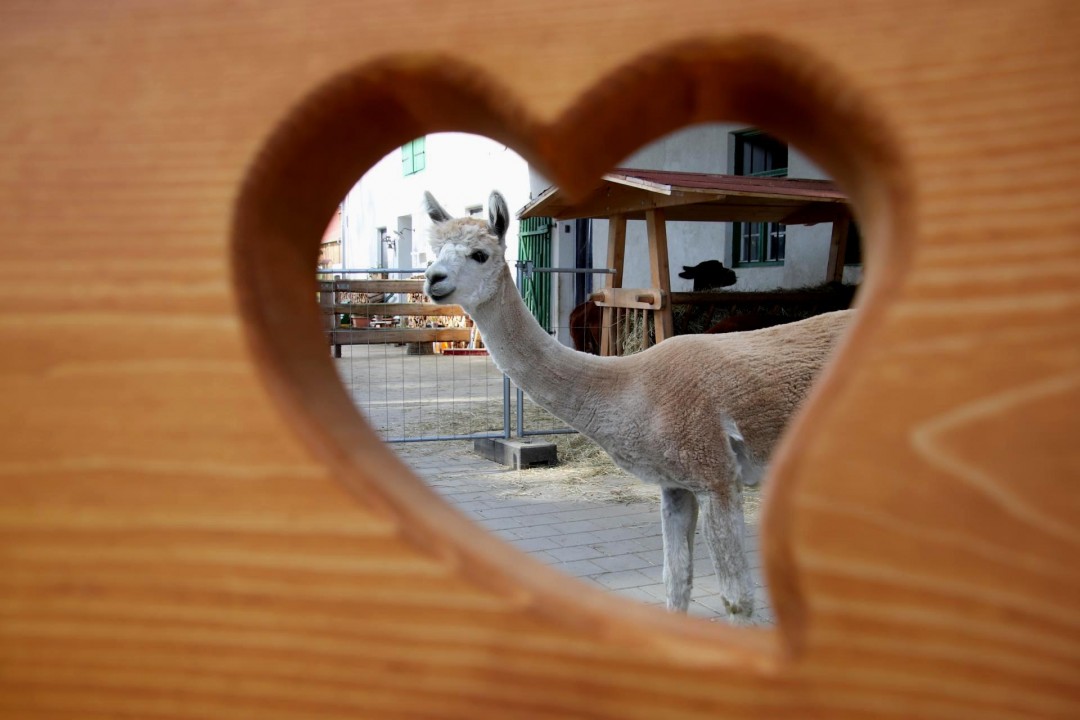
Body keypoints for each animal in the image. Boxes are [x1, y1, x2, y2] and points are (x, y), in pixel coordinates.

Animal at [422, 190, 854, 622]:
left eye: (480, 254)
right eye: (434, 252)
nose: (432, 279)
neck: (633, 384)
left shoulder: (717, 476)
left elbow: (737, 598)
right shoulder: (675, 483)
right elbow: (676, 580)